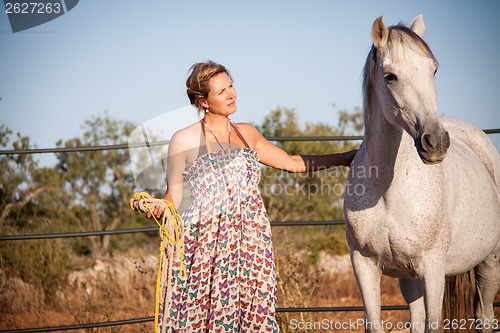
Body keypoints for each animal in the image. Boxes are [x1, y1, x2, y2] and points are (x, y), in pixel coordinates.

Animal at [344, 14, 500, 330]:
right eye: (390, 76)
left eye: (434, 70)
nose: (436, 142)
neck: (387, 189)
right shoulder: (364, 266)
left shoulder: (433, 269)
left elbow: (434, 324)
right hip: (409, 279)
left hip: (490, 263)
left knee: (485, 316)